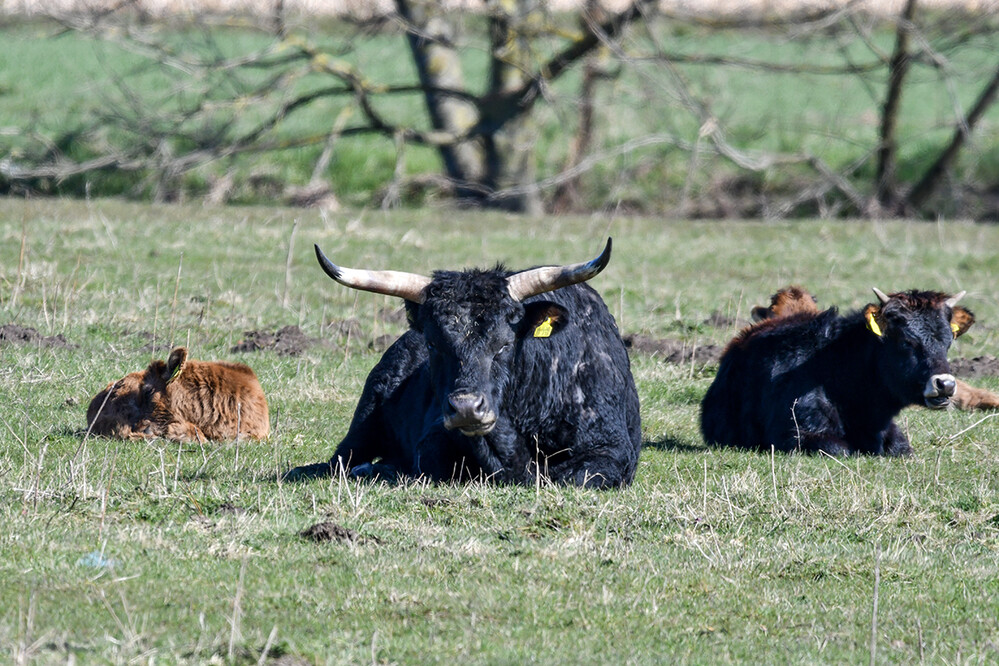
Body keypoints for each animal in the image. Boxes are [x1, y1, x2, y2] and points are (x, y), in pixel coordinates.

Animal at [284, 239, 640, 488]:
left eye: (504, 344)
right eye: (433, 343)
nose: (467, 408)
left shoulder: (611, 449)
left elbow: (572, 477)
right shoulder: (433, 439)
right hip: (365, 418)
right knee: (341, 460)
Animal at [704, 288, 976, 454]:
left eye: (947, 342)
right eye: (906, 341)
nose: (945, 384)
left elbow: (901, 447)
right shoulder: (795, 434)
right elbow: (840, 449)